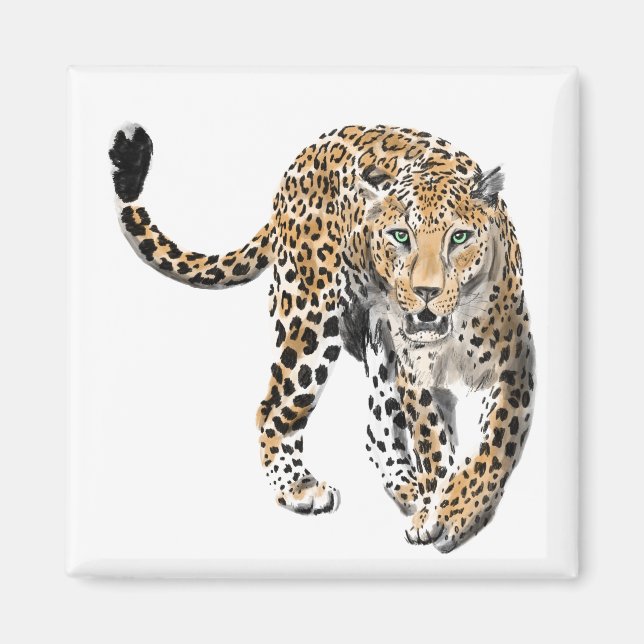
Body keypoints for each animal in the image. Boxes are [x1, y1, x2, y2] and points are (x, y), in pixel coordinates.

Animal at [109, 123, 535, 553]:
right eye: (400, 236)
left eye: (459, 238)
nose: (426, 291)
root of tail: (303, 157)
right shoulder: (416, 376)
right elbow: (433, 444)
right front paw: (440, 511)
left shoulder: (515, 366)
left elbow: (494, 448)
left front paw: (454, 510)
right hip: (309, 319)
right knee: (273, 408)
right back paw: (300, 488)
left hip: (375, 347)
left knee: (376, 428)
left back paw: (408, 490)